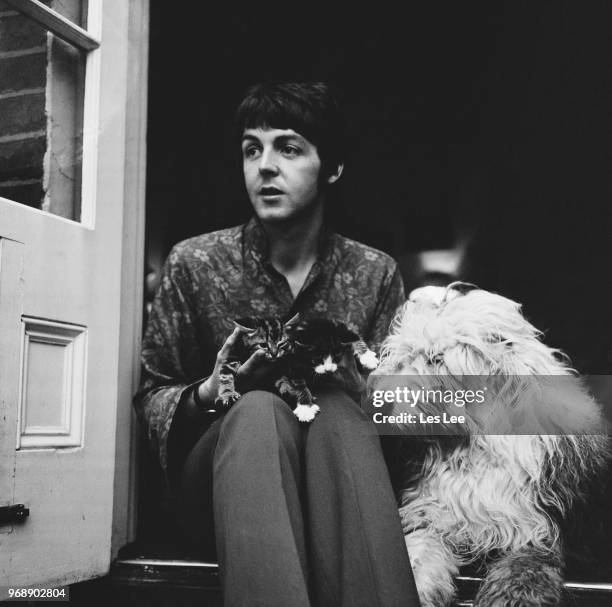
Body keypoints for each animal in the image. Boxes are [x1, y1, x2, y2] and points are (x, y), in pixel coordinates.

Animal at [372, 284, 608, 607]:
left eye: (436, 358)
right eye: (403, 356)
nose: (380, 402)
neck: (473, 446)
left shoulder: (536, 530)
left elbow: (520, 574)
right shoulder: (432, 513)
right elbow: (418, 555)